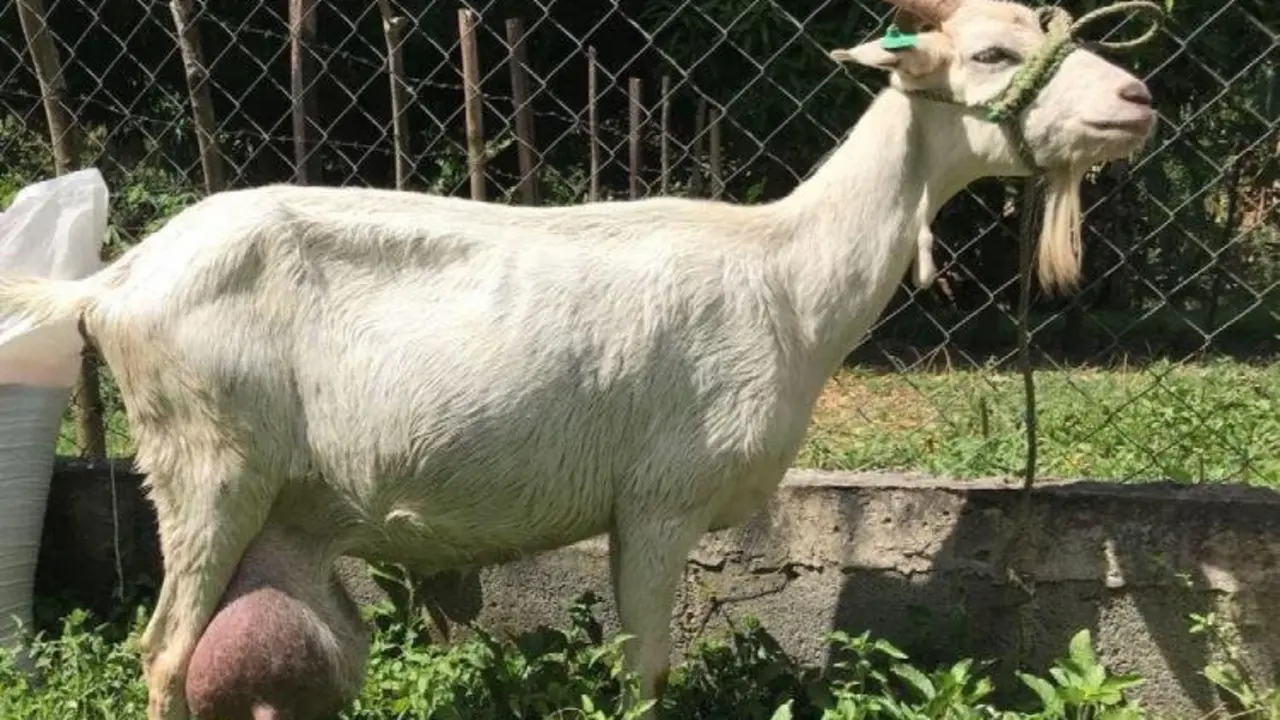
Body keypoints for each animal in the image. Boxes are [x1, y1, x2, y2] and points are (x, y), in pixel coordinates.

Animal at [0, 0, 1157, 716]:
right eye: (991, 55)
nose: (1136, 100)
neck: (785, 274)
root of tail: (117, 282)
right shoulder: (660, 500)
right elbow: (645, 670)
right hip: (206, 464)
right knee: (164, 654)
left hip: (283, 509)